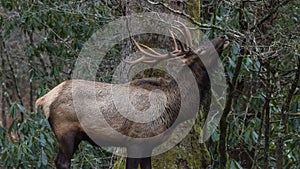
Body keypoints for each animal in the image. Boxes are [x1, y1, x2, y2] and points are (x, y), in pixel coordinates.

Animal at [34, 22, 227, 169]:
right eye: (201, 50)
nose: (223, 37)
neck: (174, 106)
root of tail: (44, 99)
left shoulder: (148, 145)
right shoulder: (135, 141)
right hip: (66, 132)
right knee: (62, 162)